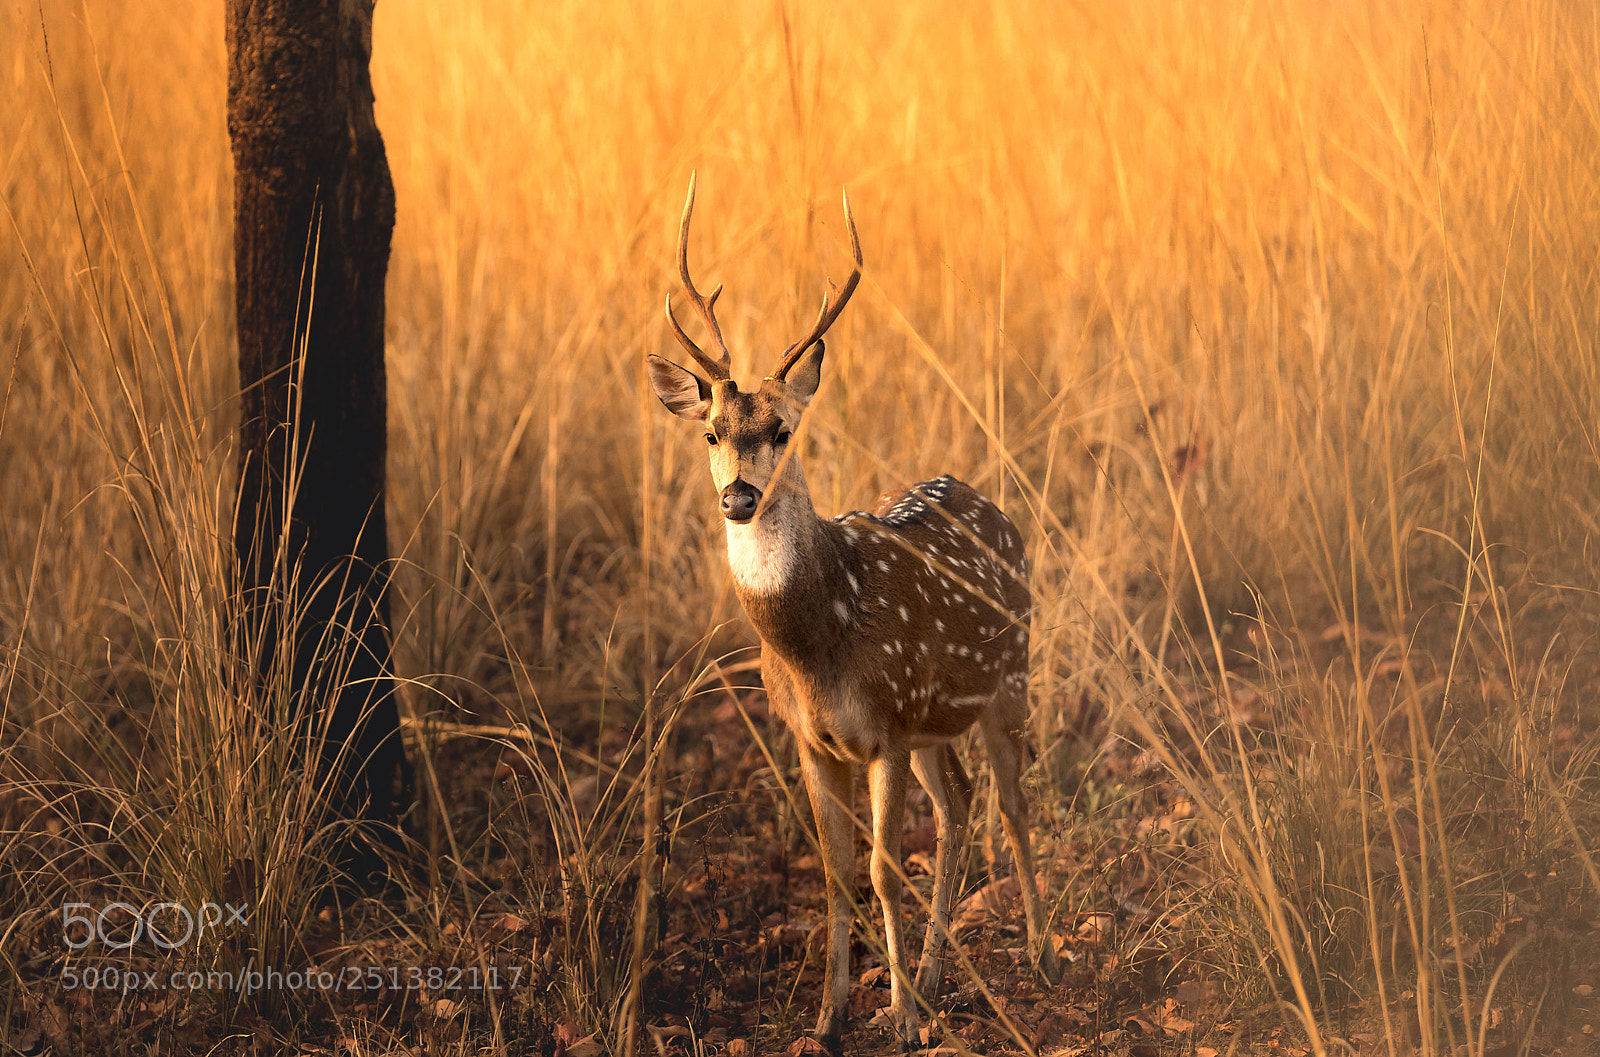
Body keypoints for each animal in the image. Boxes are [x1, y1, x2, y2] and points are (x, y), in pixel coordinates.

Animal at [646, 176, 1062, 1051]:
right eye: (710, 432)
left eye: (782, 428)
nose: (739, 497)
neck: (818, 644)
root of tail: (993, 504)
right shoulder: (814, 738)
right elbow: (838, 871)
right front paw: (830, 1016)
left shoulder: (886, 727)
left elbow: (881, 866)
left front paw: (898, 1018)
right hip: (937, 720)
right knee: (961, 800)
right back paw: (936, 975)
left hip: (1008, 677)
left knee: (1011, 802)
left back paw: (1041, 954)